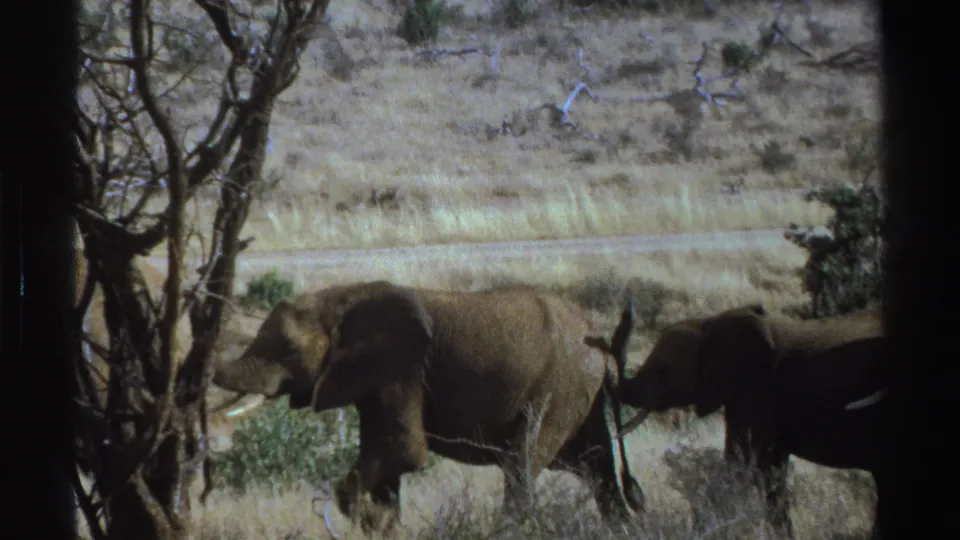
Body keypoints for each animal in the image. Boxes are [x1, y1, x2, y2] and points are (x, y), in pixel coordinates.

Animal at [212, 280, 645, 534]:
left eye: (286, 348)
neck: (337, 298)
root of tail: (603, 349)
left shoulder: (402, 369)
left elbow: (402, 454)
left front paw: (369, 519)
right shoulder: (376, 382)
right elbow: (387, 463)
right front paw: (383, 526)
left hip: (559, 389)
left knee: (521, 465)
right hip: (582, 398)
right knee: (602, 470)